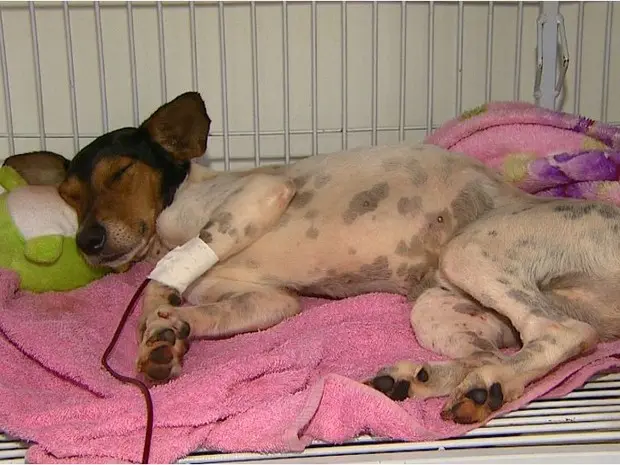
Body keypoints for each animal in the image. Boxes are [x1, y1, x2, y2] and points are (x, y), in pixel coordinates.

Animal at [8, 91, 620, 424]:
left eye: (120, 172)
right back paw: (432, 383)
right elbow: (208, 311)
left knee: (561, 333)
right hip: (441, 308)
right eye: (69, 195)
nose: (87, 242)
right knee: (491, 351)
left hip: (473, 255)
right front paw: (169, 335)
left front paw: (153, 318)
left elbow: (170, 272)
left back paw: (487, 382)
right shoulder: (271, 301)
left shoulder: (258, 195)